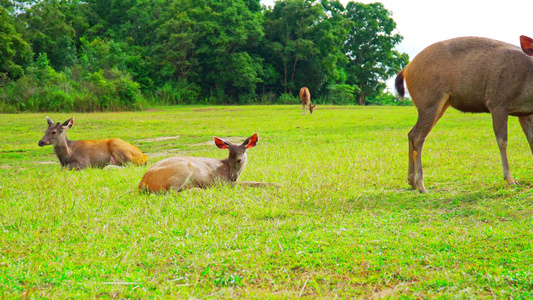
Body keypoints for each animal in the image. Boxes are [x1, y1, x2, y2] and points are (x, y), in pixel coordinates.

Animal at [137, 133, 274, 192]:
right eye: (229, 159)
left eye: (238, 160)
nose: (232, 177)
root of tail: (142, 182)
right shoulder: (221, 182)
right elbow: (254, 183)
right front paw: (276, 185)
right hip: (182, 168)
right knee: (170, 192)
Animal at [392, 35, 532, 193]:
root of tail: (406, 69)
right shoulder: (497, 102)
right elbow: (502, 140)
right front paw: (510, 180)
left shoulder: (524, 111)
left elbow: (531, 139)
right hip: (429, 101)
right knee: (417, 136)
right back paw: (421, 185)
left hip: (439, 104)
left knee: (411, 133)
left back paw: (412, 182)